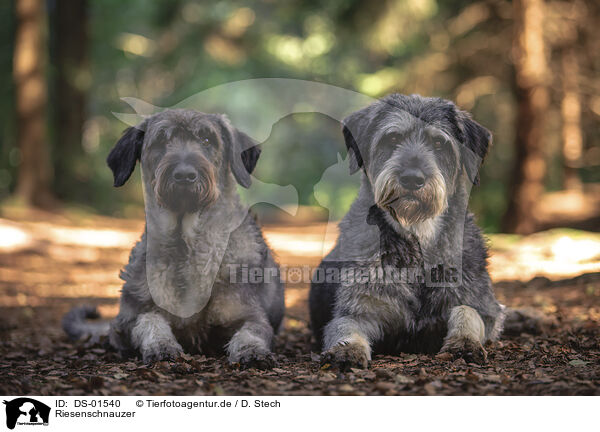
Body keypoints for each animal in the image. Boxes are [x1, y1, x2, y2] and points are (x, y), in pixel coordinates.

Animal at [64, 109, 284, 368]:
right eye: (161, 140)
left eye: (207, 139)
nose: (185, 175)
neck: (186, 245)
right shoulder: (126, 323)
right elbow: (150, 321)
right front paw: (162, 346)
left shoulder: (248, 314)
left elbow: (251, 331)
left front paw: (252, 351)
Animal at [310, 93, 506, 368]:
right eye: (393, 138)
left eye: (439, 142)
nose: (412, 178)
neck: (417, 234)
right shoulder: (360, 307)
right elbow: (345, 325)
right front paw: (346, 350)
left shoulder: (483, 307)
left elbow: (468, 312)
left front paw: (464, 342)